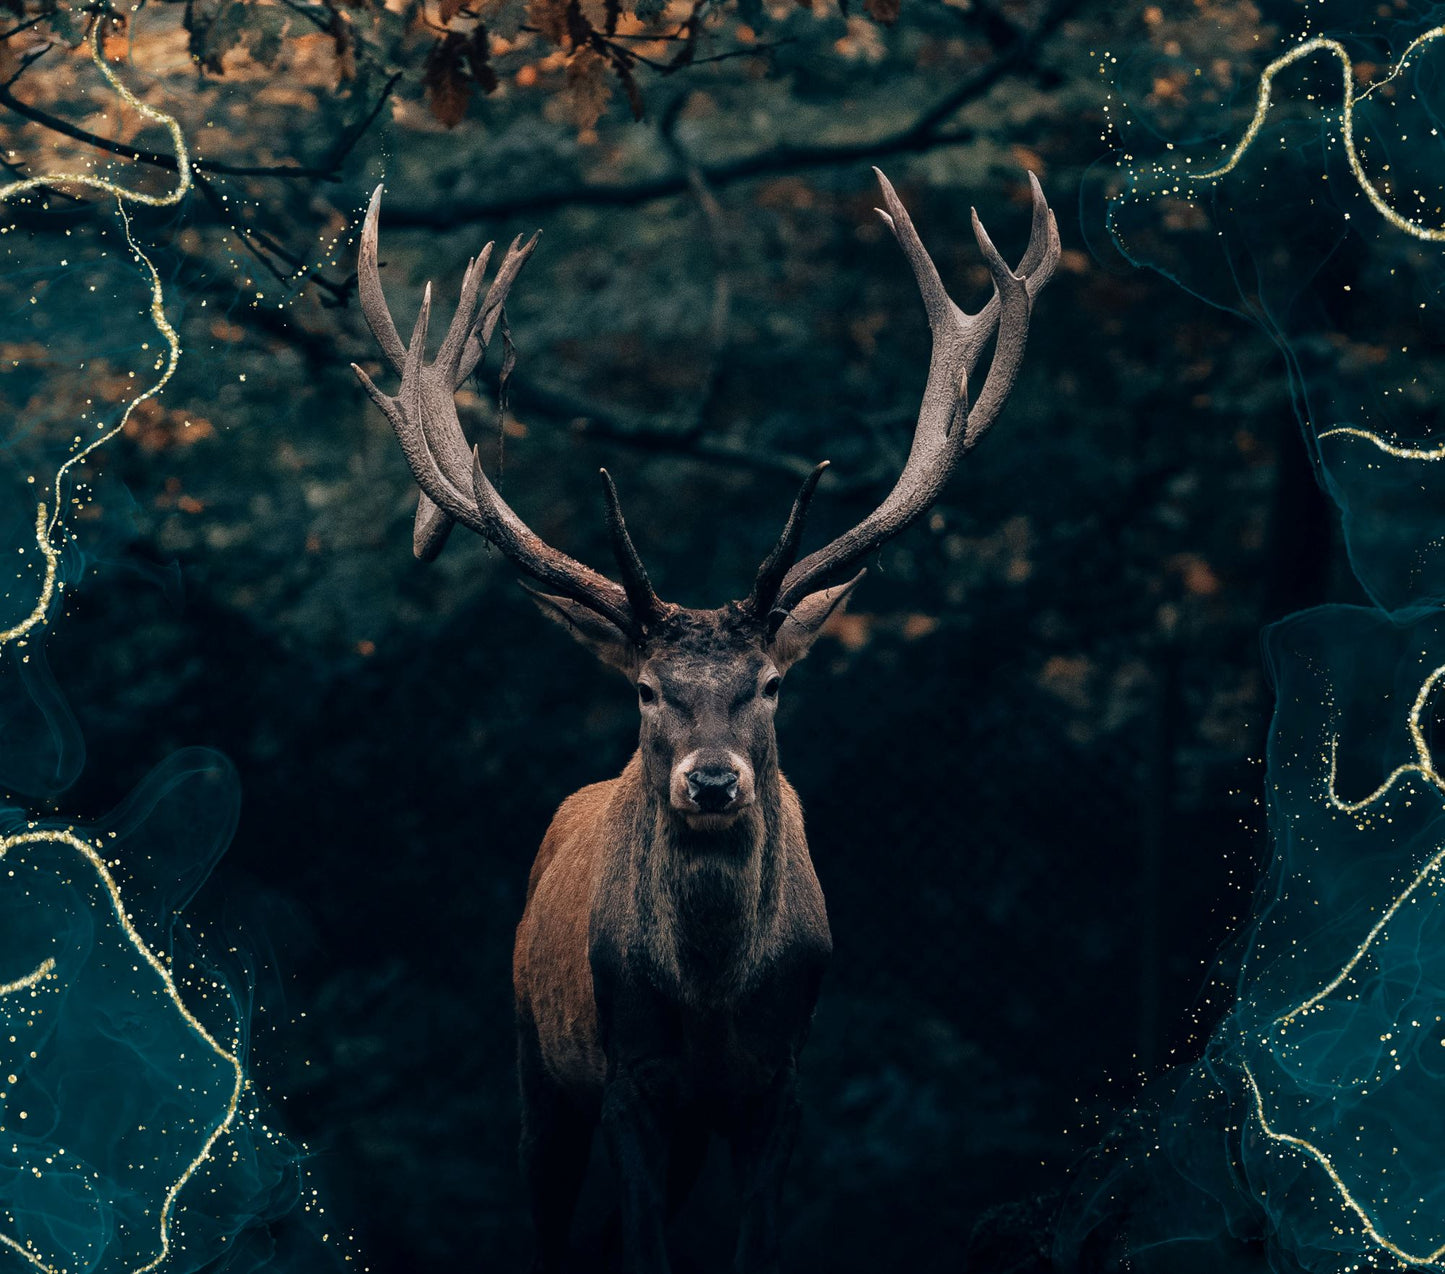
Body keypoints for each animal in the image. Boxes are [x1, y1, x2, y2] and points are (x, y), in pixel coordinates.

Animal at [352, 168, 1058, 1274]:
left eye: (767, 684)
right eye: (646, 689)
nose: (713, 780)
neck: (714, 999)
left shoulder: (779, 1084)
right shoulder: (629, 1079)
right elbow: (642, 1245)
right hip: (536, 1059)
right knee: (551, 1222)